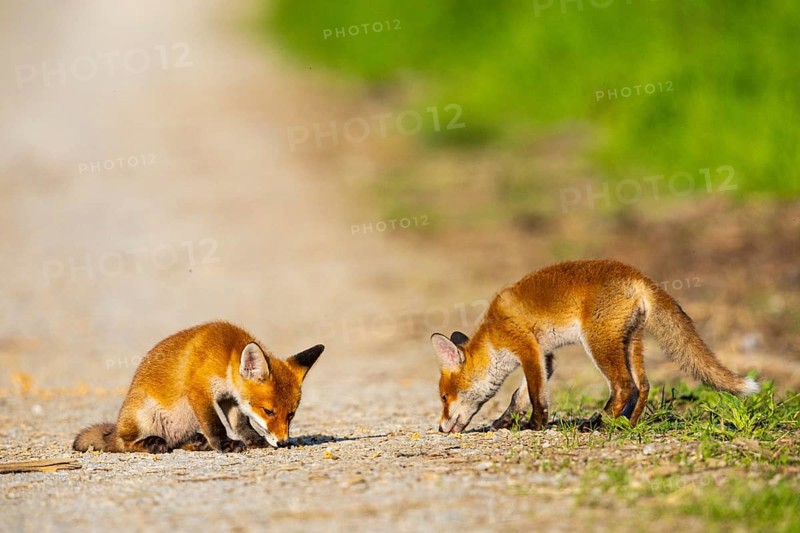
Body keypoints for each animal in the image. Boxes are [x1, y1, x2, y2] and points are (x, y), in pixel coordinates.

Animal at [73, 321, 324, 453]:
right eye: (268, 411)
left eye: (291, 415)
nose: (283, 442)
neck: (225, 355)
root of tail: (115, 429)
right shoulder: (200, 392)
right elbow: (216, 425)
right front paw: (226, 444)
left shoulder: (229, 397)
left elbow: (240, 423)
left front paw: (253, 440)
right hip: (142, 417)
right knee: (124, 444)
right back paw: (151, 443)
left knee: (177, 442)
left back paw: (195, 442)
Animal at [431, 259, 759, 434]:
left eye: (444, 398)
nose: (440, 428)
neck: (492, 334)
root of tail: (637, 275)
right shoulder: (546, 357)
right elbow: (518, 397)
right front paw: (505, 421)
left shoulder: (527, 349)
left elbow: (535, 397)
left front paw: (535, 425)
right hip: (631, 342)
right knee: (643, 385)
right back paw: (628, 424)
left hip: (600, 345)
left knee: (624, 386)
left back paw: (601, 423)